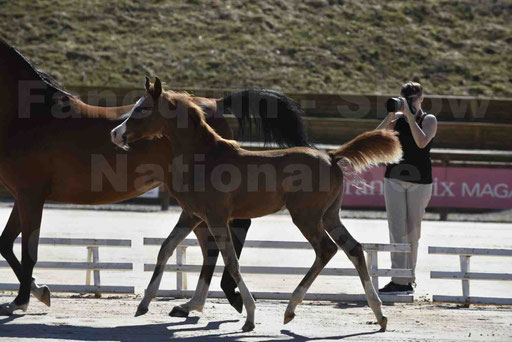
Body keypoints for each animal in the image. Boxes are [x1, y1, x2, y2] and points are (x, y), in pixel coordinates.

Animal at [0, 39, 310, 316]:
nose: (117, 135)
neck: (32, 117)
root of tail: (215, 102)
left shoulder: (31, 196)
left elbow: (28, 251)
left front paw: (23, 301)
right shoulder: (21, 197)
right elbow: (6, 243)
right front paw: (39, 292)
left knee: (229, 234)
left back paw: (225, 296)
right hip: (195, 205)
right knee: (210, 245)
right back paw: (192, 304)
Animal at [113, 77, 404, 332]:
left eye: (142, 108)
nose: (116, 134)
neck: (204, 156)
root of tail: (331, 156)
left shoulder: (216, 218)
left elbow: (231, 262)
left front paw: (250, 316)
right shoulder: (192, 215)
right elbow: (166, 248)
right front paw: (144, 304)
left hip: (307, 217)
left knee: (326, 250)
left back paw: (291, 308)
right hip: (330, 216)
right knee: (354, 249)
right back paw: (379, 314)